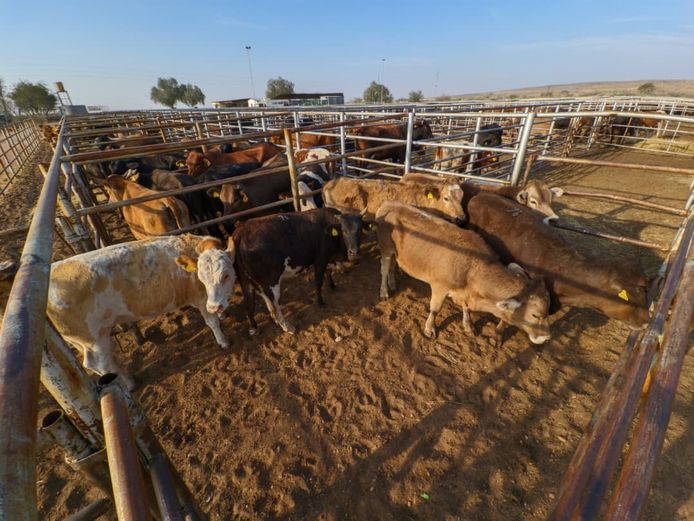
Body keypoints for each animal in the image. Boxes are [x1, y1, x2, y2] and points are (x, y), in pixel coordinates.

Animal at [46, 235, 237, 388]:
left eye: (226, 275)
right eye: (201, 278)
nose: (215, 307)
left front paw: (222, 314)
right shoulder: (200, 298)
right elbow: (212, 322)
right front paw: (223, 341)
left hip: (83, 340)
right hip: (92, 338)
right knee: (99, 364)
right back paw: (129, 384)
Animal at [232, 208, 365, 335]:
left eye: (360, 229)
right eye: (344, 230)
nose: (354, 252)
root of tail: (241, 232)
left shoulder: (327, 258)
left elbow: (329, 272)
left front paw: (332, 286)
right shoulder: (320, 259)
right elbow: (318, 281)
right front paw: (320, 301)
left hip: (246, 281)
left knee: (250, 304)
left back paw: (256, 328)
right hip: (270, 281)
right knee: (274, 305)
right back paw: (287, 327)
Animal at [375, 201, 551, 343]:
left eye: (547, 313)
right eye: (535, 315)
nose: (546, 337)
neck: (473, 267)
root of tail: (389, 203)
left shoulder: (466, 292)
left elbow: (466, 308)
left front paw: (468, 325)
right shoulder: (440, 287)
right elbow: (435, 309)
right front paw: (430, 328)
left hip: (395, 252)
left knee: (392, 266)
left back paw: (392, 283)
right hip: (386, 248)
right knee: (384, 268)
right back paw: (384, 291)